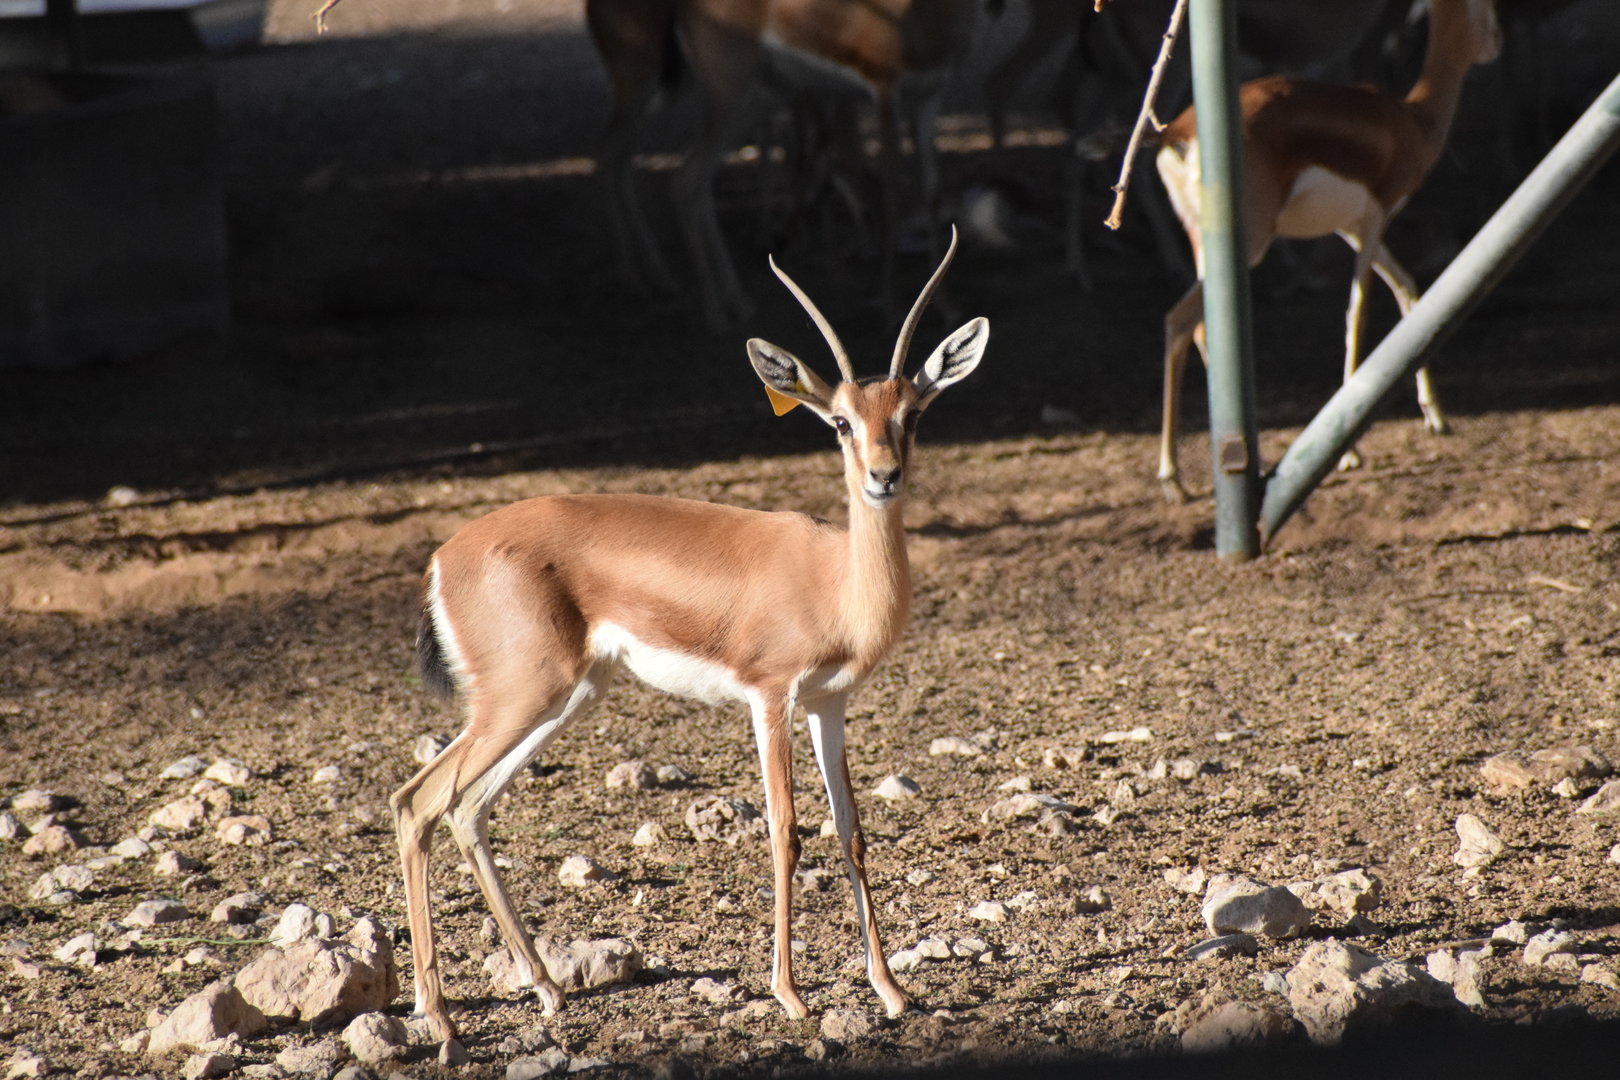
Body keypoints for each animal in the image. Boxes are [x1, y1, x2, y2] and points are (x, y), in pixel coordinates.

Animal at [392, 231, 987, 1047]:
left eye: (914, 413)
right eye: (839, 421)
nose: (883, 476)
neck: (835, 579)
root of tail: (442, 558)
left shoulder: (828, 704)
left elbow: (851, 830)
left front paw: (892, 991)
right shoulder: (770, 697)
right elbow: (785, 830)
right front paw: (791, 995)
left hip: (561, 699)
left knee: (467, 809)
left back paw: (545, 990)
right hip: (521, 698)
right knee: (417, 802)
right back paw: (442, 1018)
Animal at [587, 0, 978, 329]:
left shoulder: (928, 99)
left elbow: (930, 191)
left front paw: (946, 307)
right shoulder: (883, 91)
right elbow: (891, 191)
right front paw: (890, 304)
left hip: (748, 98)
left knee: (670, 172)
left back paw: (724, 296)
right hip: (713, 94)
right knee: (672, 173)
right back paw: (704, 306)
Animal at [1153, 0, 1502, 504]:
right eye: (1490, 8)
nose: (1498, 44)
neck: (1411, 120)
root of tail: (1174, 134)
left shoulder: (1351, 229)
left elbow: (1409, 289)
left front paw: (1436, 417)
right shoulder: (1376, 218)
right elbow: (1357, 313)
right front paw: (1350, 454)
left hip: (1205, 243)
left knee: (1199, 325)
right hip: (1251, 243)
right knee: (1179, 319)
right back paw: (1173, 477)